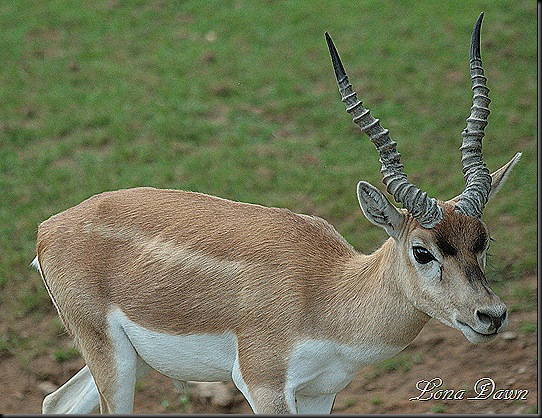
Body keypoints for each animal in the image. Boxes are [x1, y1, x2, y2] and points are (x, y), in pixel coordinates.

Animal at [35, 13, 524, 414]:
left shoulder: (321, 391)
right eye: (422, 251)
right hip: (110, 356)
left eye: (483, 240)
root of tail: (50, 227)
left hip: (126, 358)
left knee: (56, 401)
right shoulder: (262, 384)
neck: (328, 293)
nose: (491, 315)